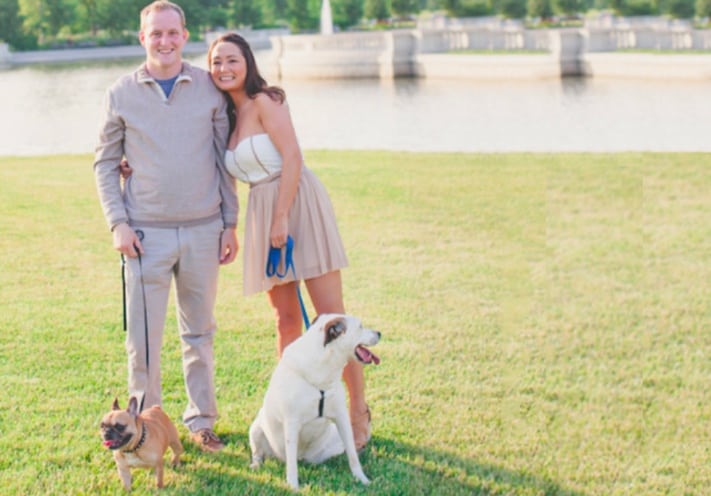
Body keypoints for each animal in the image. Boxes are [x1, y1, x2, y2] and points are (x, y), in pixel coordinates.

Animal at [252, 314, 384, 488]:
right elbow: (291, 464)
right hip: (256, 429)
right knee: (260, 453)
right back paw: (256, 464)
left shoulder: (342, 418)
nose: (379, 333)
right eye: (360, 327)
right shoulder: (292, 423)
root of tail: (304, 457)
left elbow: (352, 455)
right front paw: (293, 486)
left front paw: (362, 478)